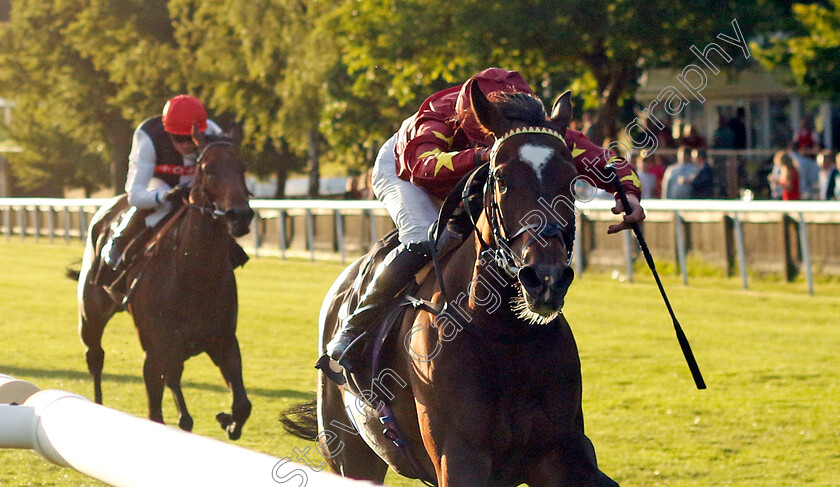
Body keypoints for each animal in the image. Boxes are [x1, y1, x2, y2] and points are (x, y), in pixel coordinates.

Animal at [75, 130, 253, 442]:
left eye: (242, 167)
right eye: (208, 169)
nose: (240, 215)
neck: (195, 276)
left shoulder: (224, 341)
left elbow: (242, 403)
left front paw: (227, 420)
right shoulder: (154, 353)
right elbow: (155, 415)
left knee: (175, 377)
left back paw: (186, 419)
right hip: (91, 314)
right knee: (95, 357)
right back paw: (98, 404)